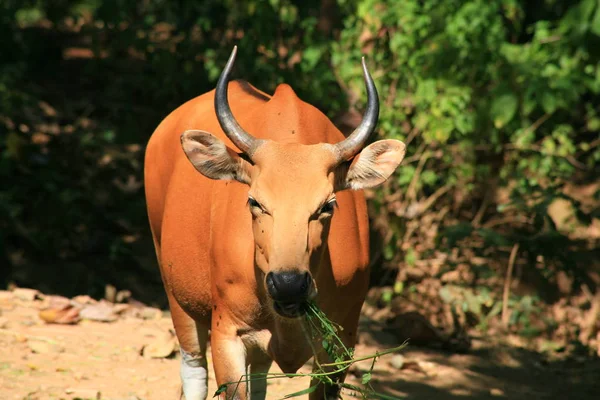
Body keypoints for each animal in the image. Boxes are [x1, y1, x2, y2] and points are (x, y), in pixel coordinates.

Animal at [144, 47, 408, 400]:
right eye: (254, 201)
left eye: (328, 205)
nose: (288, 284)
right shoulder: (227, 333)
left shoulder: (341, 344)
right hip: (175, 291)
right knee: (193, 370)